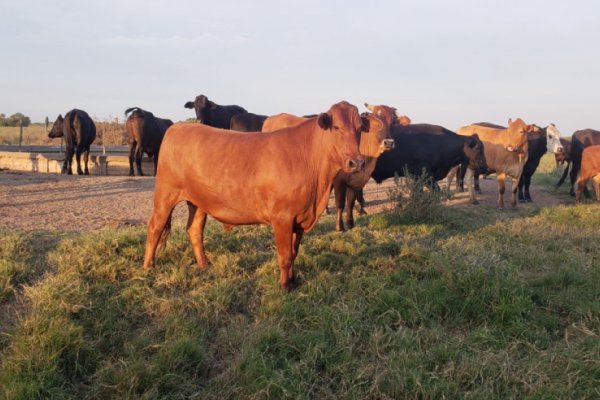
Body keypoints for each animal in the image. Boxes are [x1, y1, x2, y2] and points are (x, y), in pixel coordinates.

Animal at [144, 101, 368, 290]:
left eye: (359, 129)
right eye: (336, 127)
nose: (356, 162)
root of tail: (178, 127)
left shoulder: (299, 218)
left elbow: (294, 253)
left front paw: (293, 280)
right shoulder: (282, 217)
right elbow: (285, 256)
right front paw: (285, 287)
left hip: (198, 201)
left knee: (194, 230)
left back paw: (204, 265)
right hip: (165, 194)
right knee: (155, 227)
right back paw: (148, 266)